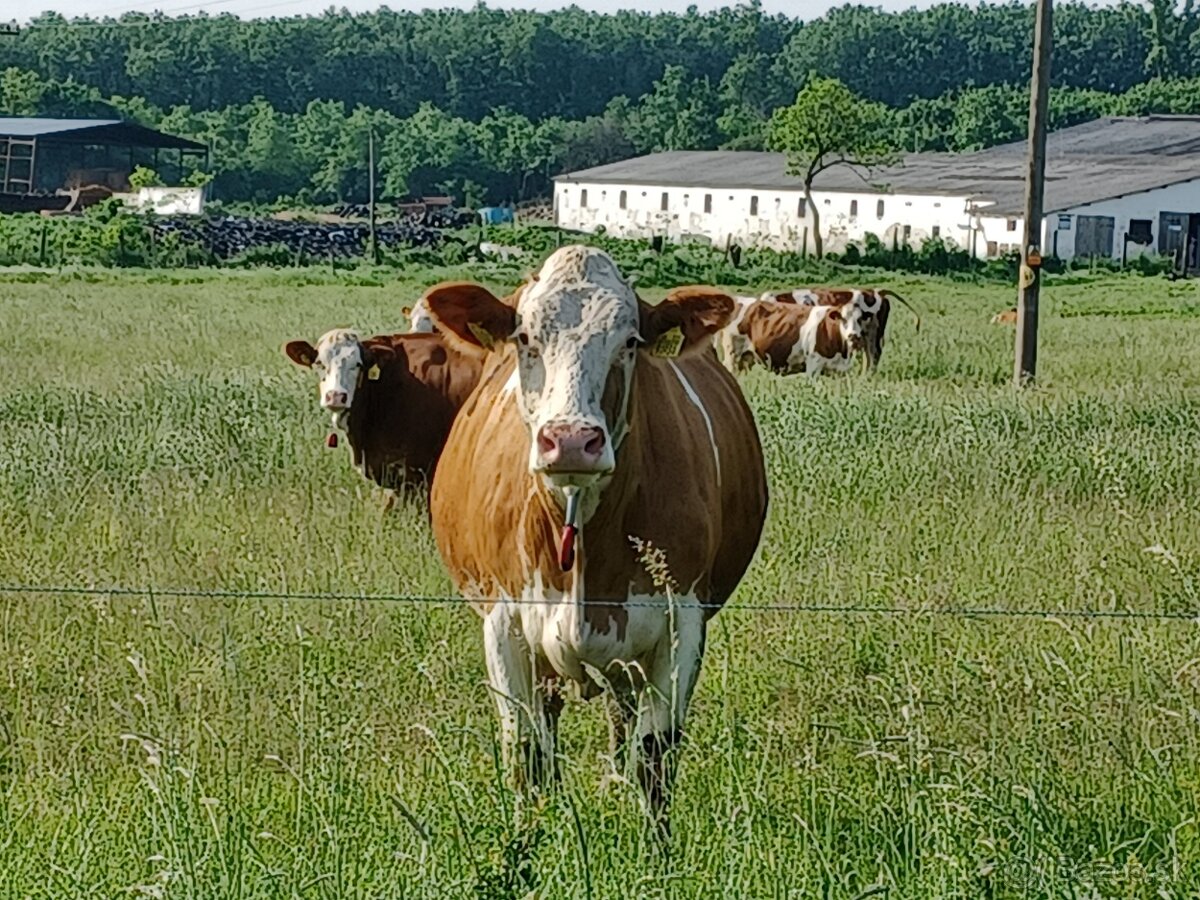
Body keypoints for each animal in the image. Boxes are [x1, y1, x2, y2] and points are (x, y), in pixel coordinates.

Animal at [422, 247, 768, 840]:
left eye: (629, 342)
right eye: (524, 337)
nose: (570, 441)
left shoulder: (681, 623)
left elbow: (654, 754)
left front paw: (655, 847)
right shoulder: (504, 622)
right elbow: (527, 752)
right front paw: (528, 839)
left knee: (622, 719)